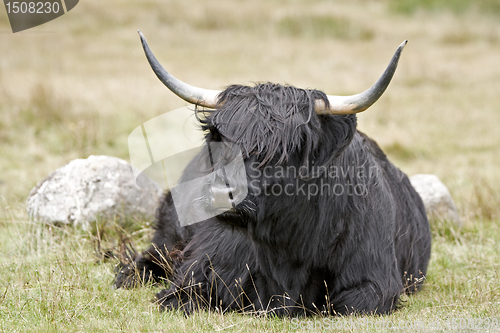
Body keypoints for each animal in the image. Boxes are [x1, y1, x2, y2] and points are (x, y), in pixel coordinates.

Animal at [112, 32, 430, 316]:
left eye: (284, 148)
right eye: (218, 136)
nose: (221, 193)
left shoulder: (375, 282)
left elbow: (351, 305)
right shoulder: (201, 268)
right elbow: (182, 295)